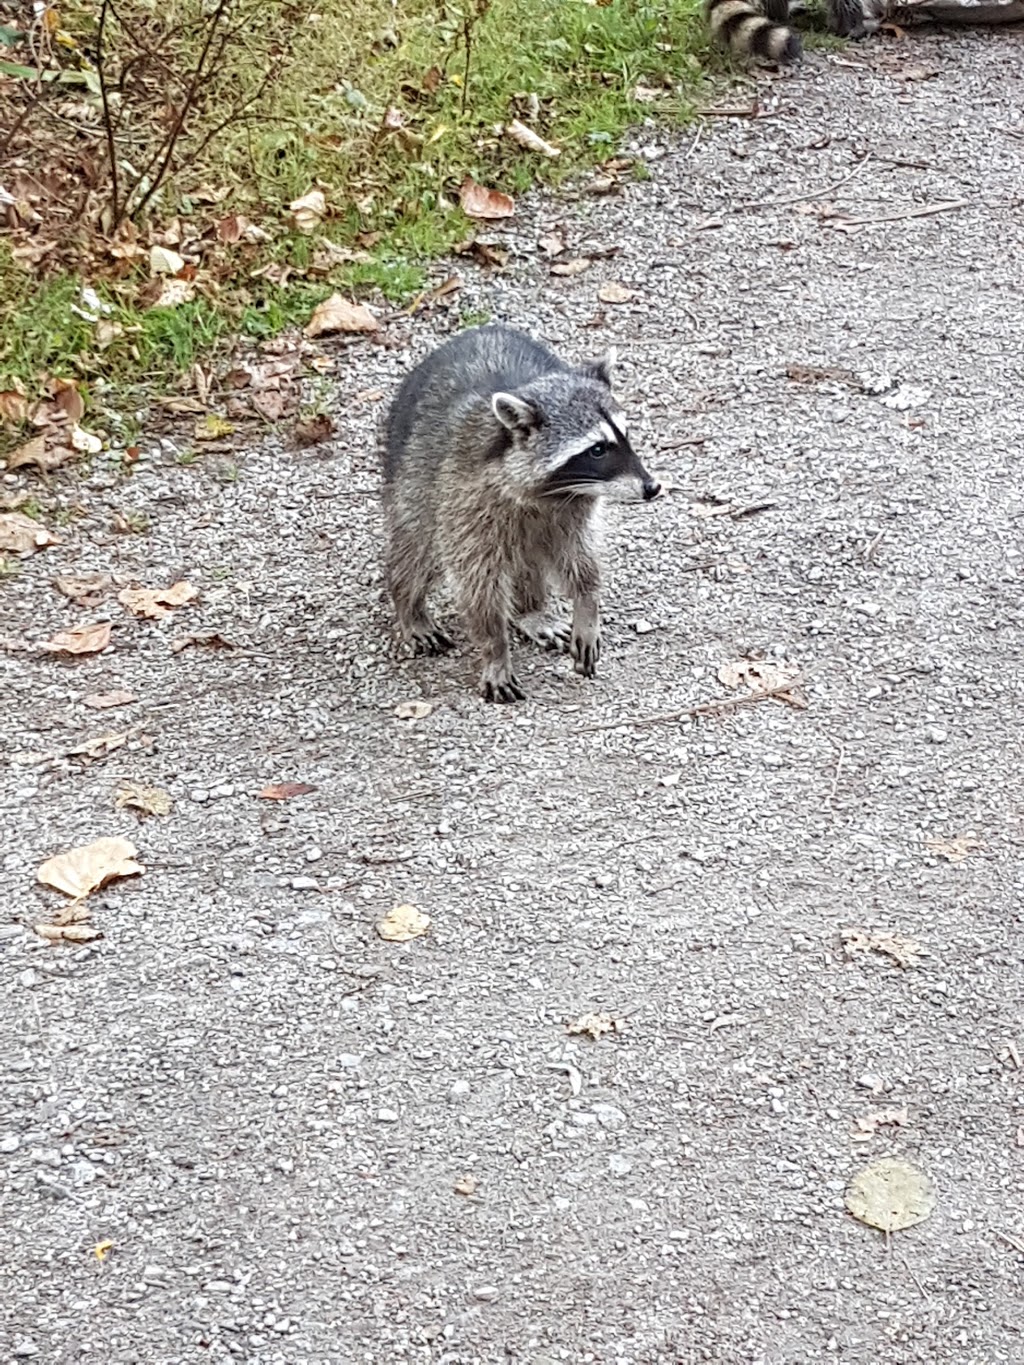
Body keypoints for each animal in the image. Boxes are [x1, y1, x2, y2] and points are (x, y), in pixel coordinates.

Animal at [385, 320, 666, 704]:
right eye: (597, 449)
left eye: (626, 436)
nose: (652, 487)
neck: (553, 493)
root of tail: (480, 329)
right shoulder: (465, 503)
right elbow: (478, 584)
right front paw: (495, 648)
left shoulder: (574, 513)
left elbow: (581, 560)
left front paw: (587, 604)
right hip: (414, 474)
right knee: (418, 547)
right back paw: (408, 601)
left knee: (528, 559)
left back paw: (530, 610)